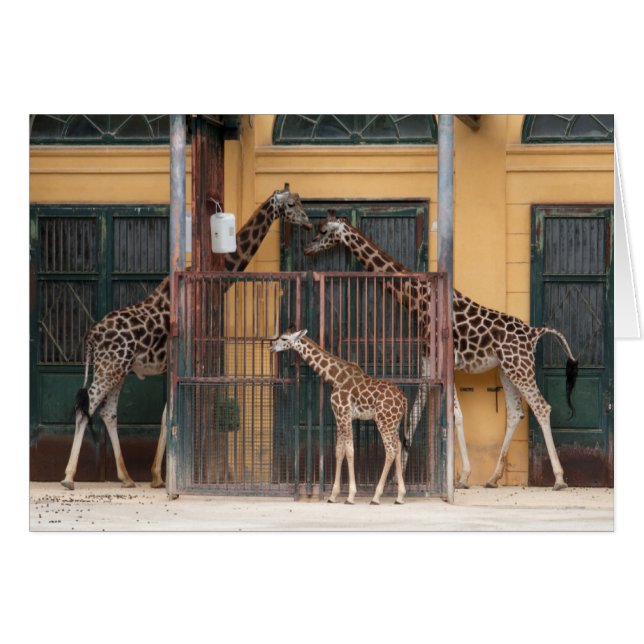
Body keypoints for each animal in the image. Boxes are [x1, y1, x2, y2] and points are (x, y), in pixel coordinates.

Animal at [61, 184, 312, 490]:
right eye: (291, 204)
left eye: (300, 201)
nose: (308, 222)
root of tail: (91, 336)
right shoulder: (182, 360)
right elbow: (171, 414)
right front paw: (162, 476)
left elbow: (168, 414)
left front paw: (158, 477)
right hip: (110, 366)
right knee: (86, 406)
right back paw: (69, 477)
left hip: (117, 369)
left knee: (107, 411)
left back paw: (127, 477)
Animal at [269, 329, 409, 505]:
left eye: (284, 338)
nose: (271, 348)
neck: (335, 377)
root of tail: (403, 399)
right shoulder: (340, 416)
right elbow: (339, 451)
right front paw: (333, 495)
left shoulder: (343, 413)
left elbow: (349, 451)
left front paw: (350, 496)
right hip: (394, 422)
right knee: (398, 446)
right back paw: (400, 496)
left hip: (384, 421)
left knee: (390, 450)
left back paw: (376, 497)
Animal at [303, 210, 579, 491]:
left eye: (324, 230)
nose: (307, 247)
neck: (419, 300)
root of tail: (534, 333)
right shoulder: (428, 361)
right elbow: (416, 414)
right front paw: (396, 475)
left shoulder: (441, 361)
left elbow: (454, 415)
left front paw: (463, 476)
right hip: (506, 369)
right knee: (515, 413)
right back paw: (492, 478)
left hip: (520, 366)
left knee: (541, 407)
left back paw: (559, 479)